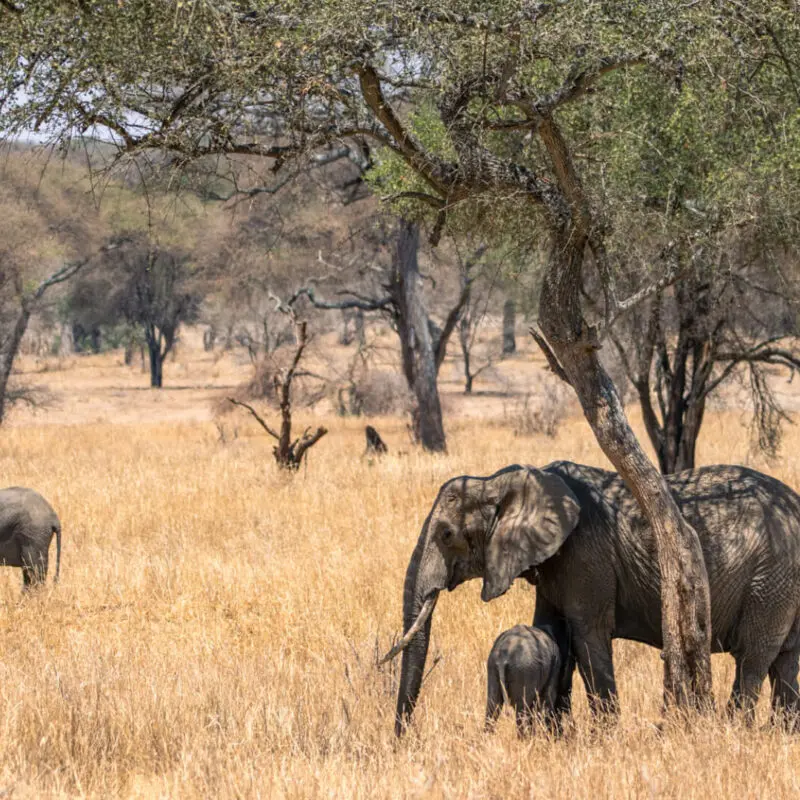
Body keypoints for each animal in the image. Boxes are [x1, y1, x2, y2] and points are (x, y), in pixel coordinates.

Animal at [386, 461, 800, 735]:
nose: (405, 740)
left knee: (754, 656)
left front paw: (604, 739)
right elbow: (549, 629)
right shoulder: (555, 561)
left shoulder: (586, 553)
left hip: (772, 577)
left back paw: (736, 732)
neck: (500, 480)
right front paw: (557, 736)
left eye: (446, 534)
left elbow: (589, 636)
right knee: (786, 660)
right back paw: (782, 737)